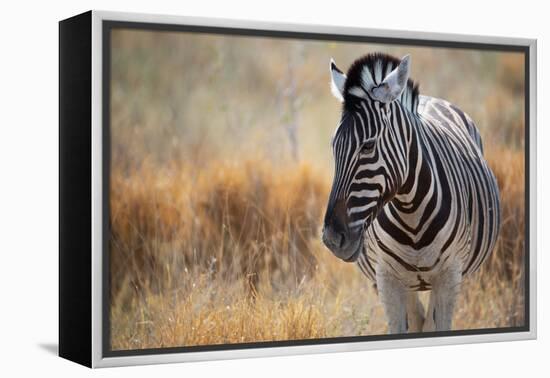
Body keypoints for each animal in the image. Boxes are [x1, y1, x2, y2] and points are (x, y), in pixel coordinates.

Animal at [322, 53, 502, 334]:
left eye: (368, 146)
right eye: (333, 146)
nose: (332, 238)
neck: (411, 212)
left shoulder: (450, 276)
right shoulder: (386, 279)